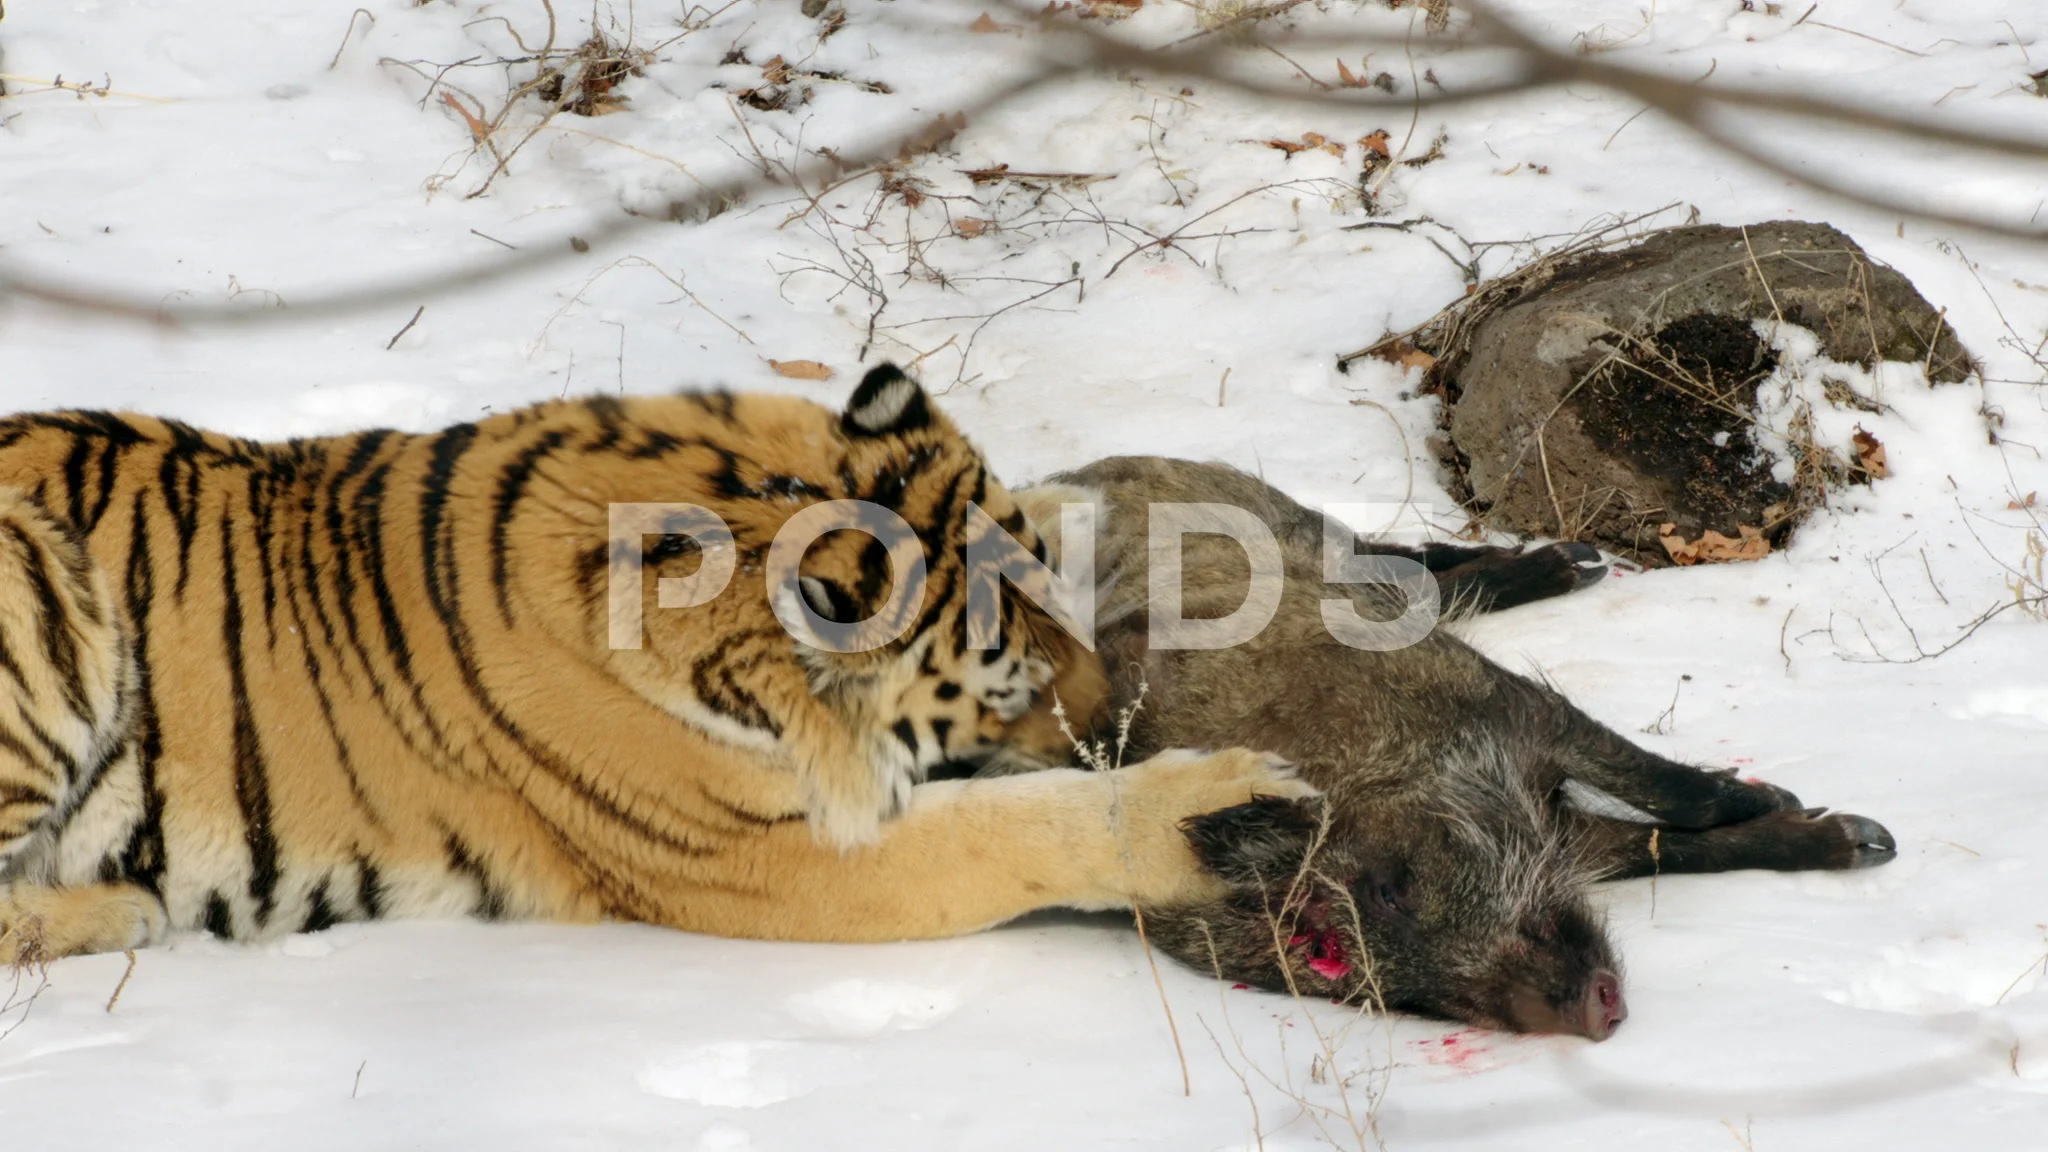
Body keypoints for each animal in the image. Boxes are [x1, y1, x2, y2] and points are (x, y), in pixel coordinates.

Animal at [0, 362, 1310, 955]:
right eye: (1013, 686)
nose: (1113, 719)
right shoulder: (773, 857)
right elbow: (1028, 826)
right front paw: (1220, 809)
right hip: (38, 591)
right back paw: (112, 910)